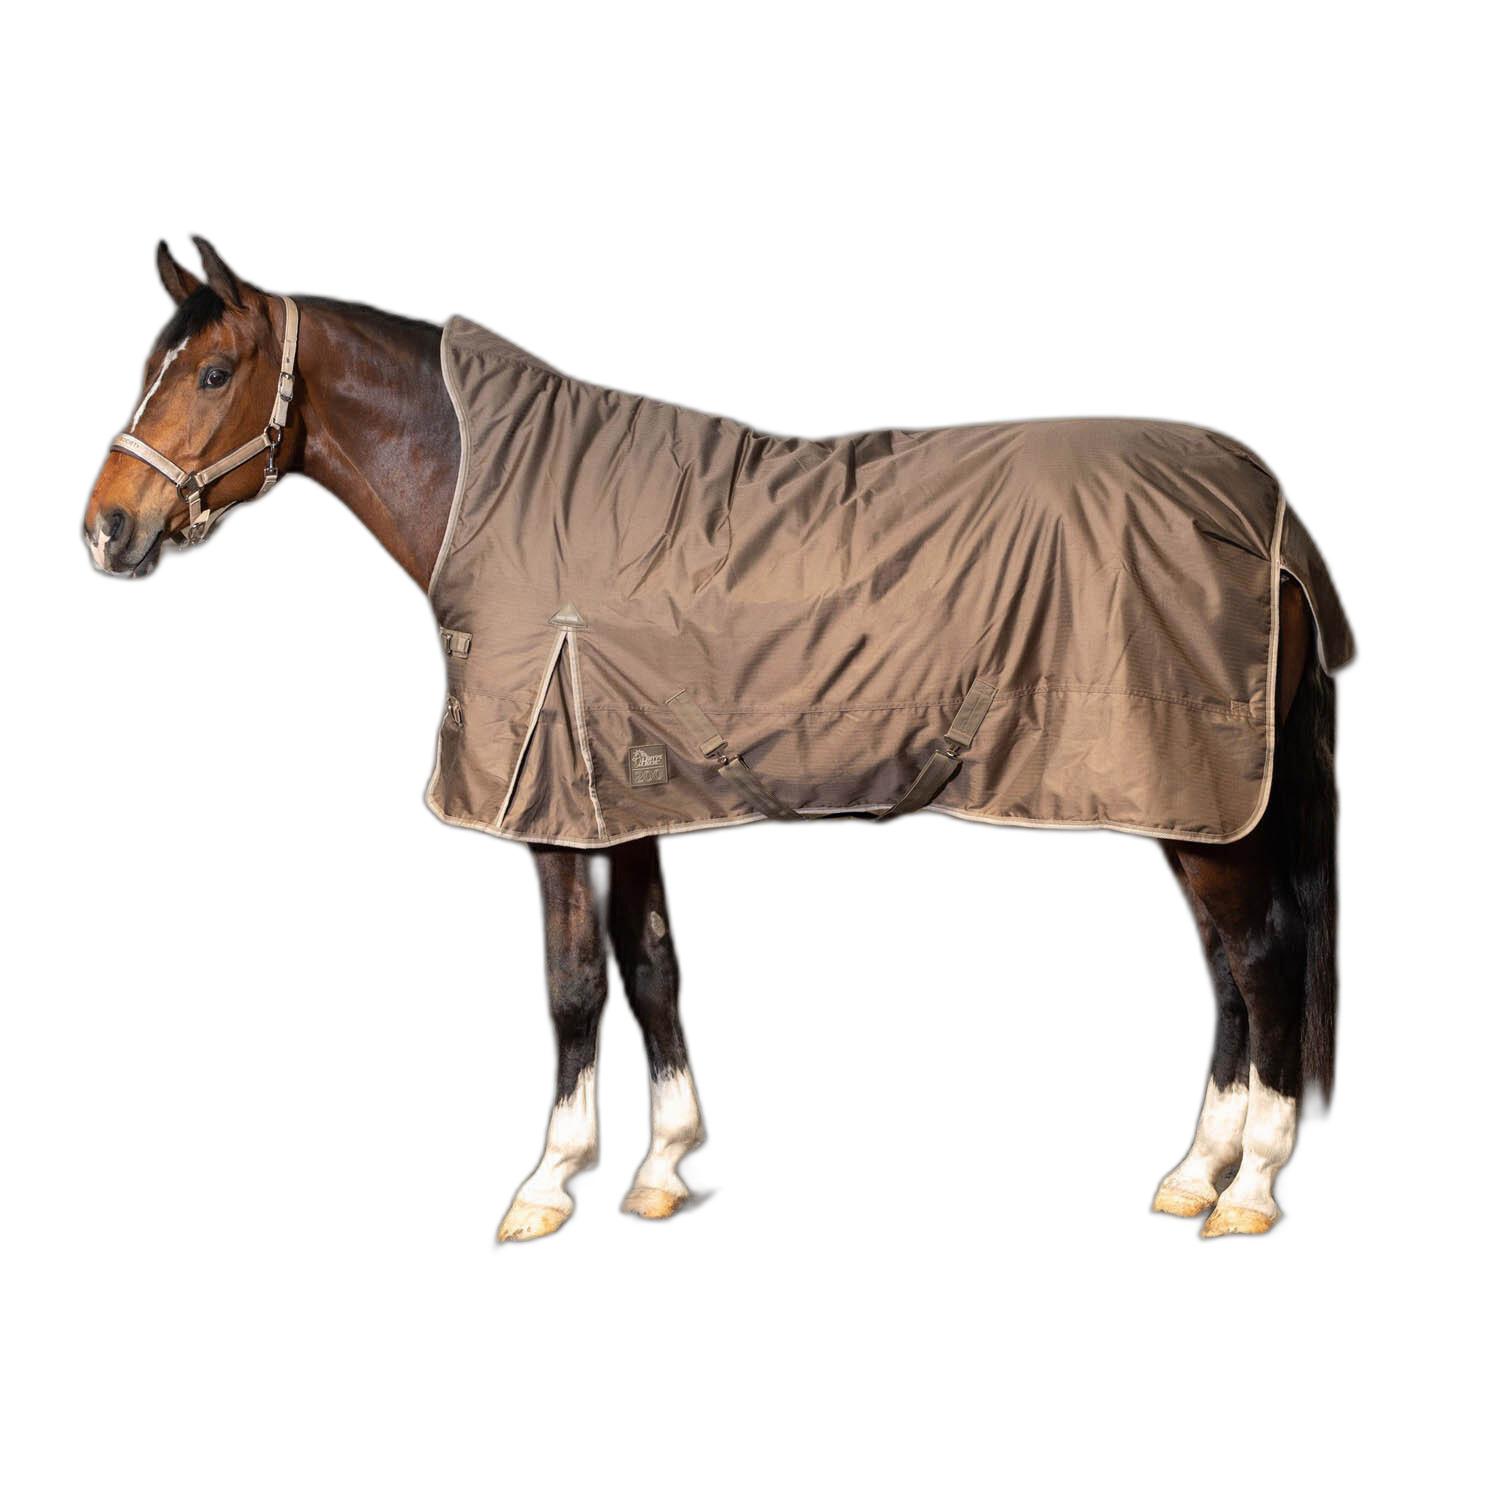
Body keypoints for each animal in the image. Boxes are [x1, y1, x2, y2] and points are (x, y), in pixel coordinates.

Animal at [83, 238, 1346, 1241]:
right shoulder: (618, 797)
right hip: (1186, 804)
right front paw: (661, 1167)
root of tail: (1269, 511)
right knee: (1229, 971)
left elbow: (573, 984)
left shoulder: (551, 811)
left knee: (1264, 956)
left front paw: (547, 1183)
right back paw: (1194, 1172)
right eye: (151, 370)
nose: (107, 529)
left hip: (1204, 800)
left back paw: (1249, 1190)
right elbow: (652, 970)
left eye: (211, 371)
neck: (502, 494)